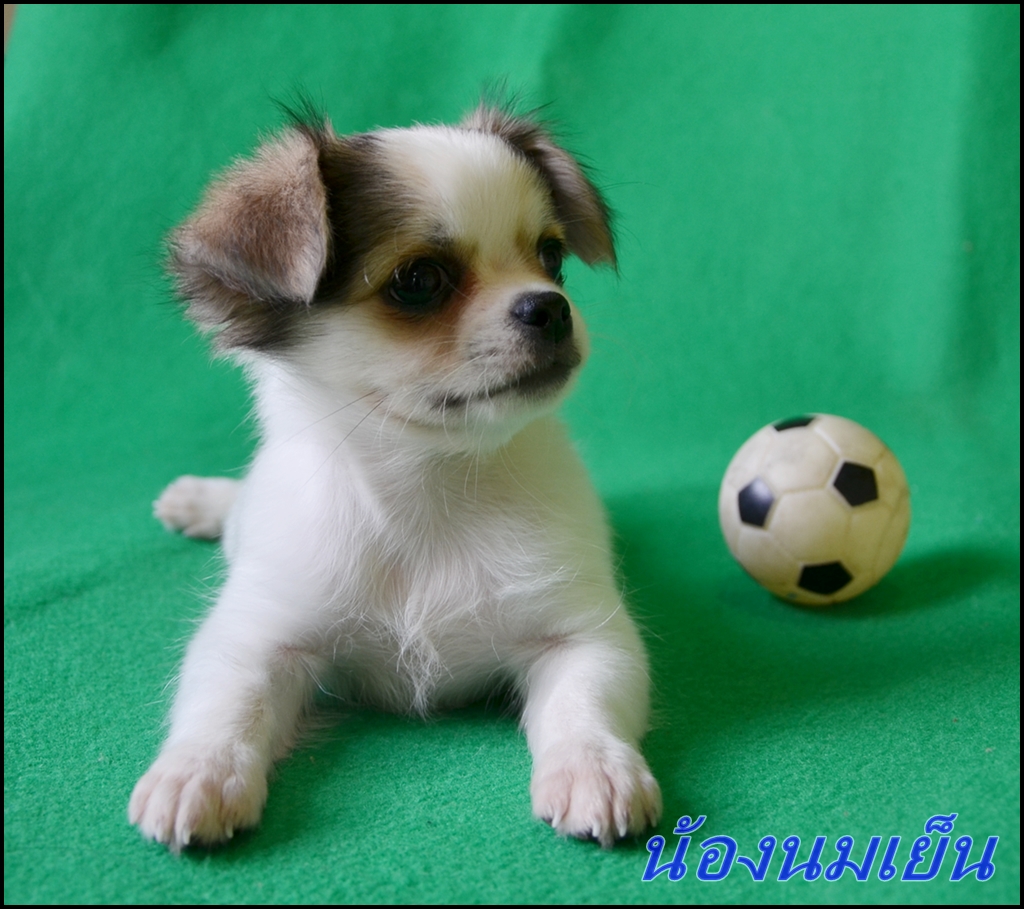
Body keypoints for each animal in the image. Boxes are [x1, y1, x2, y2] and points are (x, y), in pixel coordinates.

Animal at [128, 105, 661, 851]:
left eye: (552, 256)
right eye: (418, 280)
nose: (550, 307)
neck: (430, 487)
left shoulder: (584, 633)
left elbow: (586, 702)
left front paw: (595, 767)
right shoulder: (259, 632)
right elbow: (226, 704)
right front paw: (197, 771)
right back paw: (198, 500)